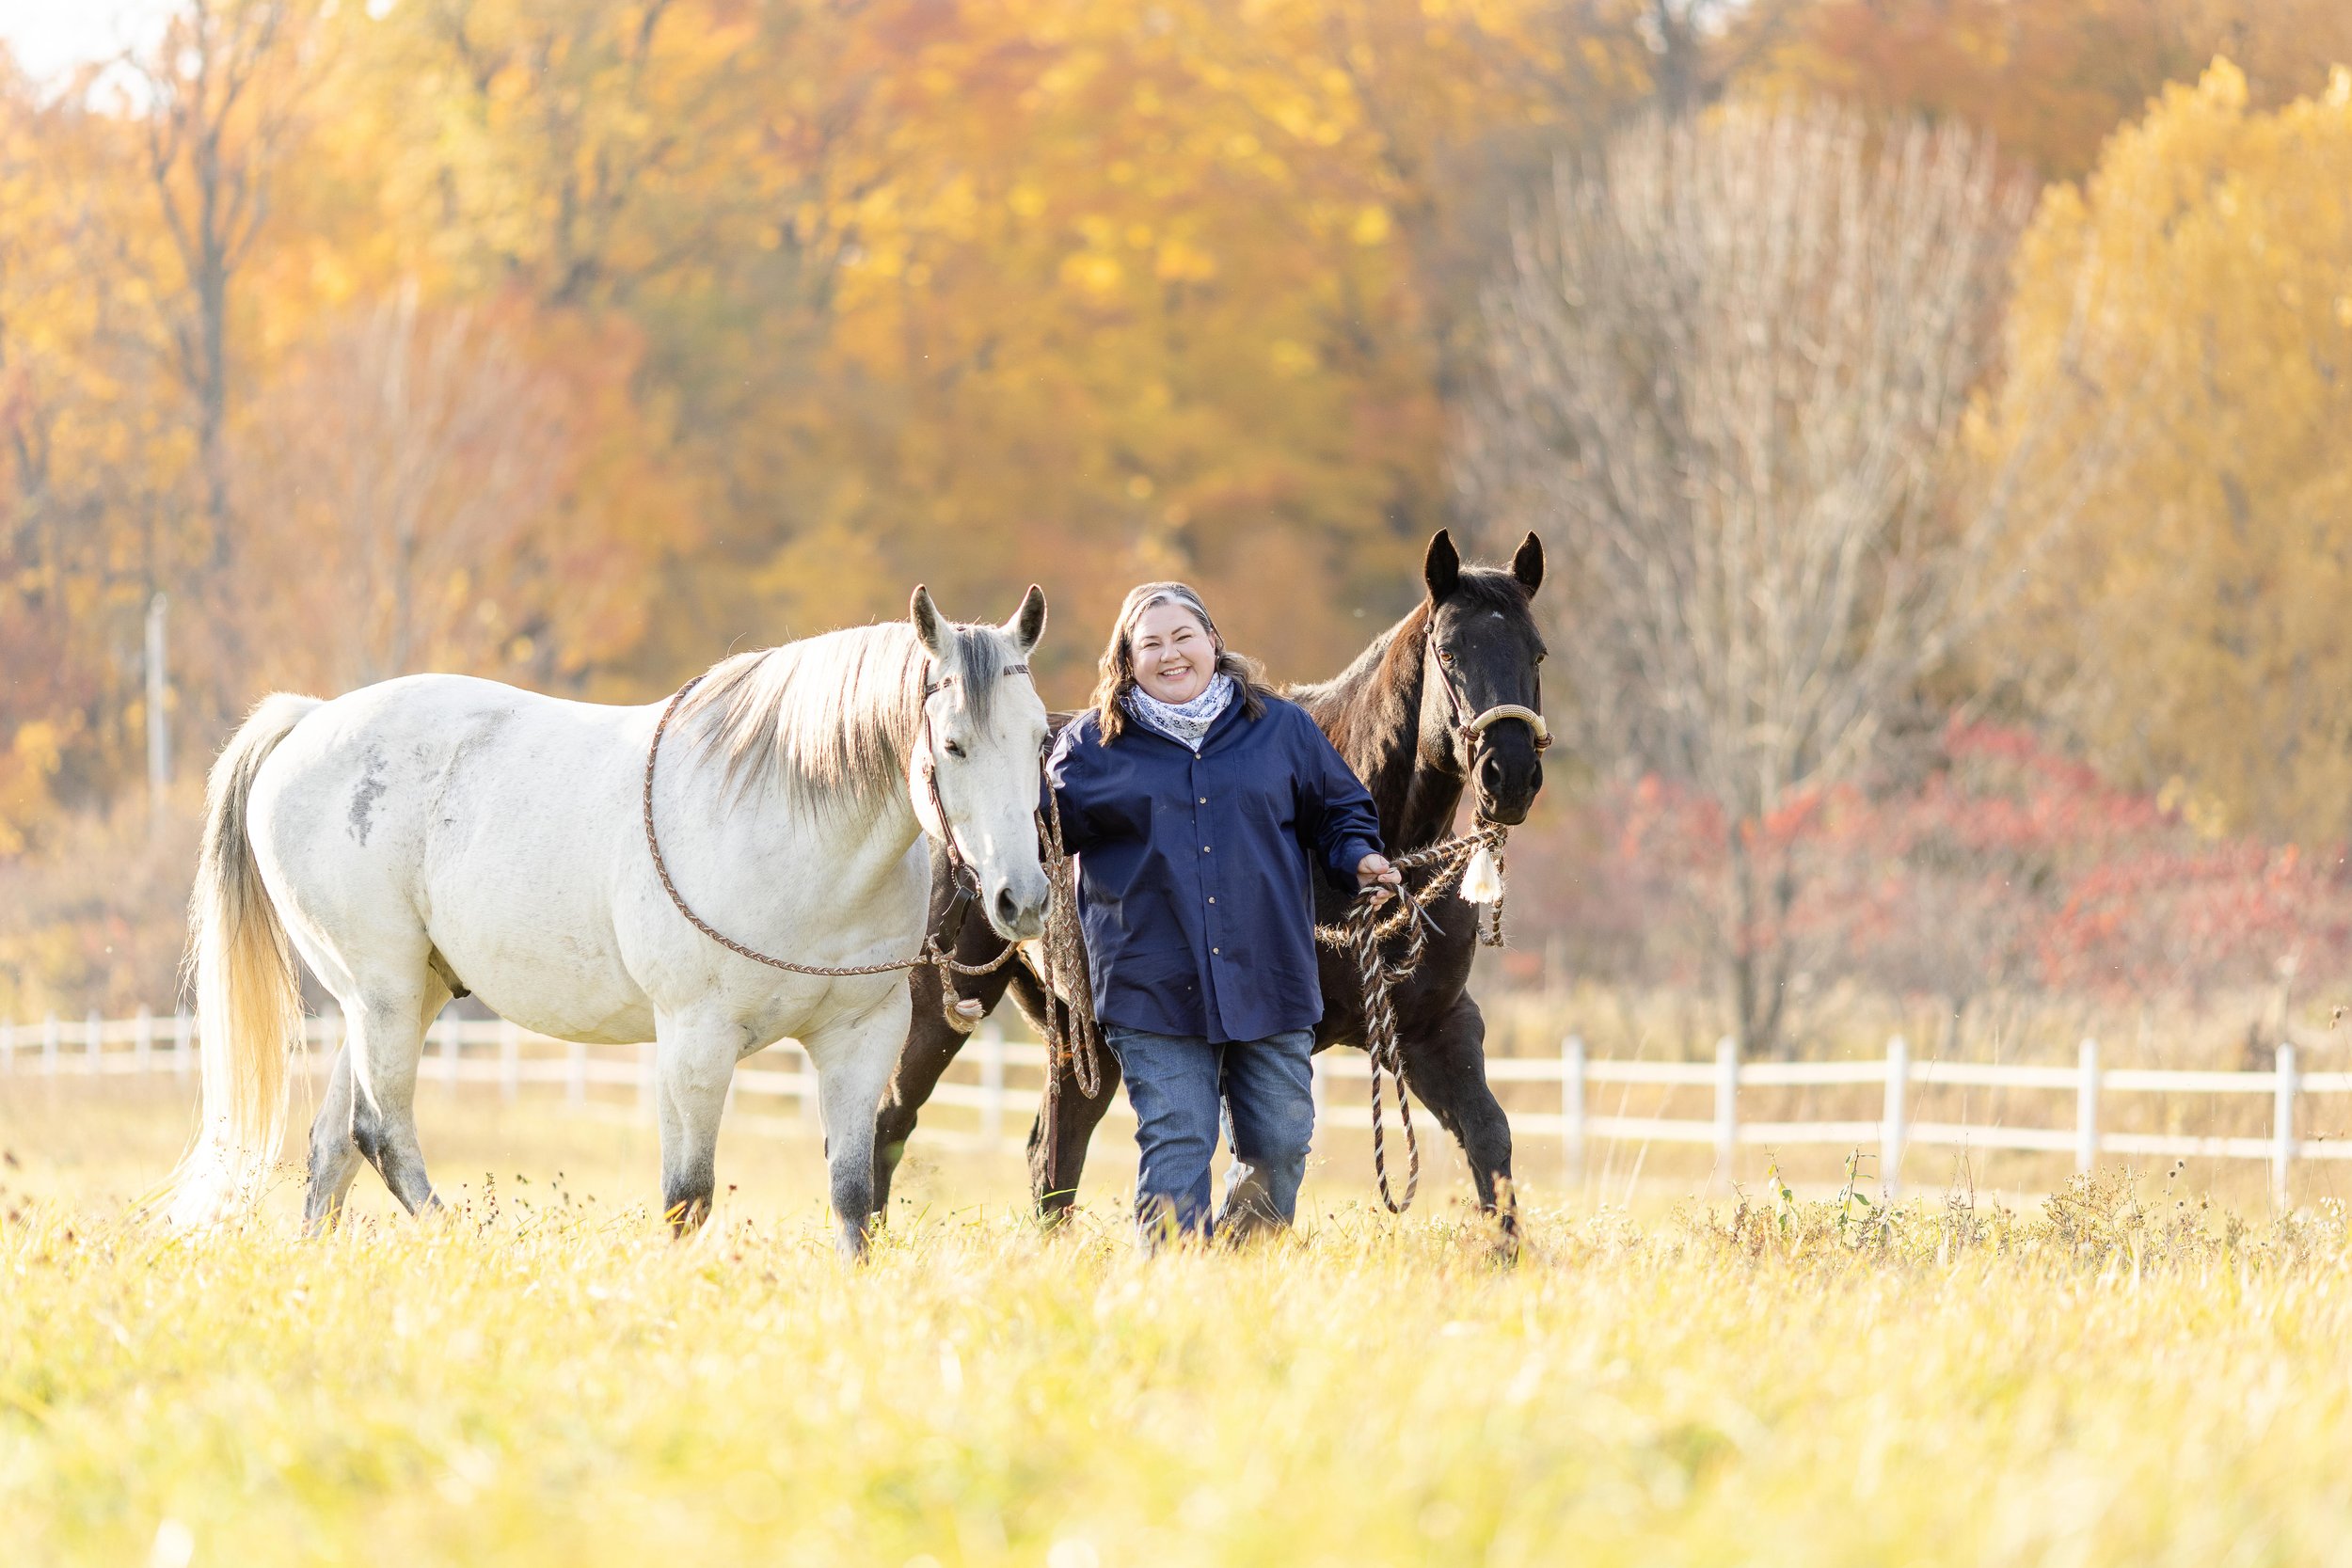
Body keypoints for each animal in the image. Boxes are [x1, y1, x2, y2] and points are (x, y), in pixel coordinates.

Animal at [166, 582, 1049, 1259]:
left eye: (1041, 737)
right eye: (954, 743)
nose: (1024, 898)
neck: (793, 831)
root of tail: (308, 720)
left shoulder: (861, 1038)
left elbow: (853, 1195)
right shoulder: (696, 1040)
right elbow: (688, 1197)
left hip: (401, 997)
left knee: (331, 1149)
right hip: (379, 991)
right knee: (381, 1132)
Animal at [875, 531, 1552, 1241]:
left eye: (1536, 652)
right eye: (1449, 652)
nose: (1508, 774)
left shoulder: (1434, 1026)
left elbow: (1487, 1139)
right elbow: (1250, 1182)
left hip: (1082, 1035)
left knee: (1054, 1152)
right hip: (941, 1002)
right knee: (890, 1120)